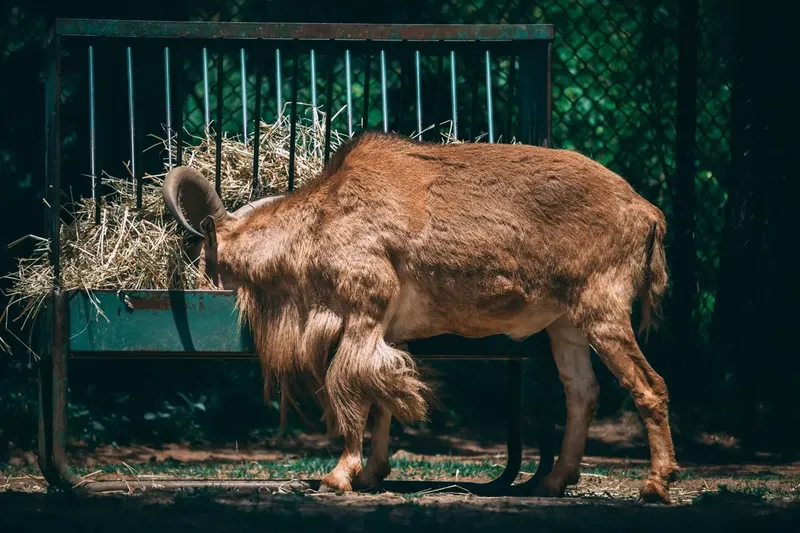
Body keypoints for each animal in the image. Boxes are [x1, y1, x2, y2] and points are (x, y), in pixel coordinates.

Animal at [162, 131, 679, 503]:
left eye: (207, 259)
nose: (200, 280)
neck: (323, 219)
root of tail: (648, 212)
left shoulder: (362, 313)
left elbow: (348, 386)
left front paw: (339, 476)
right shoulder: (390, 333)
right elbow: (382, 400)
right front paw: (372, 474)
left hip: (603, 311)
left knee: (648, 386)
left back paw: (656, 484)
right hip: (566, 325)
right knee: (582, 392)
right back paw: (553, 482)